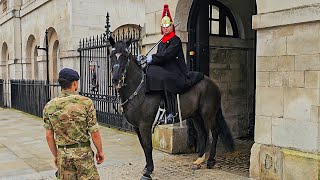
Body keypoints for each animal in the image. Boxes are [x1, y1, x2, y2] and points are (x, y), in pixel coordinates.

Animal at [109, 37, 234, 179]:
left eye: (125, 56)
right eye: (112, 55)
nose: (116, 80)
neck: (139, 90)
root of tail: (212, 83)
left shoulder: (145, 125)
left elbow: (147, 146)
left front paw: (148, 171)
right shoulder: (136, 127)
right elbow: (143, 146)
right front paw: (147, 167)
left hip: (208, 114)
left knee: (215, 132)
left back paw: (210, 161)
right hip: (196, 115)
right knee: (203, 134)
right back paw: (199, 161)